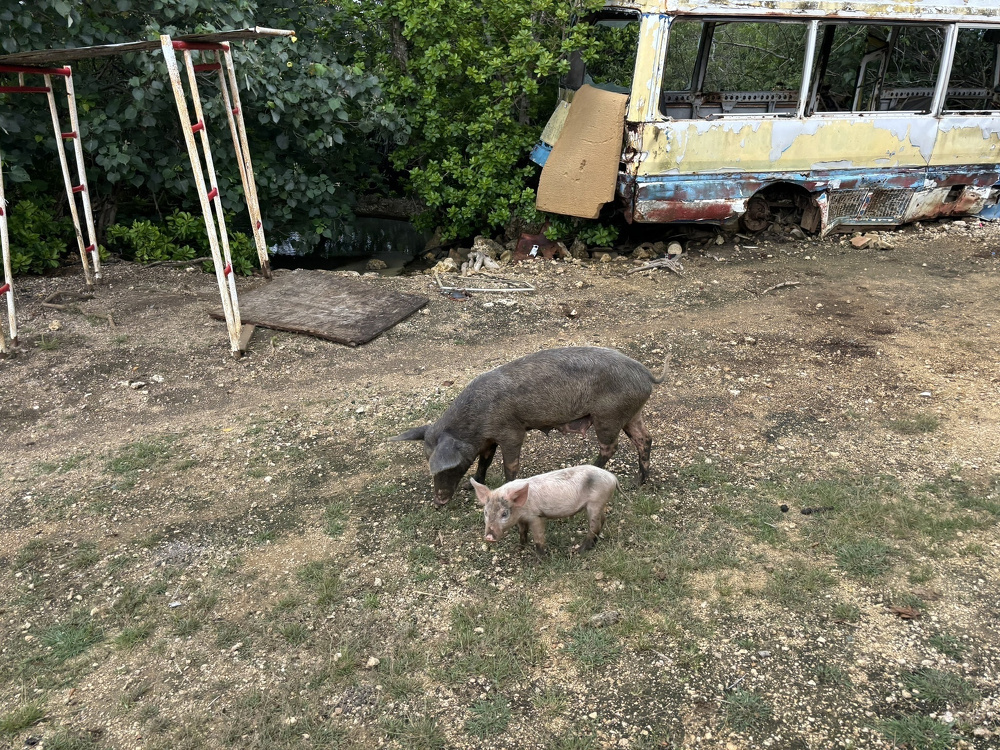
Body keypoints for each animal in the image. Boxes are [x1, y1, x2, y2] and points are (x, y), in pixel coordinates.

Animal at [391, 346, 666, 506]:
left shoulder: (511, 431)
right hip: (631, 413)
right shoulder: (488, 439)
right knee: (645, 438)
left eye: (449, 466)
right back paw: (639, 483)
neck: (476, 423)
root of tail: (646, 374)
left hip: (608, 415)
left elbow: (510, 464)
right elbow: (484, 461)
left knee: (611, 446)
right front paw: (473, 484)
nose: (438, 502)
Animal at [472, 465, 617, 555]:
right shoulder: (521, 519)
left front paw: (539, 560)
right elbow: (522, 532)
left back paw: (578, 551)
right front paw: (519, 549)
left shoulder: (536, 516)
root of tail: (613, 477)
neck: (521, 509)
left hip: (595, 502)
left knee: (594, 526)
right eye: (485, 512)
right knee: (603, 519)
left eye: (504, 513)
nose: (489, 537)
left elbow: (538, 537)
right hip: (599, 504)